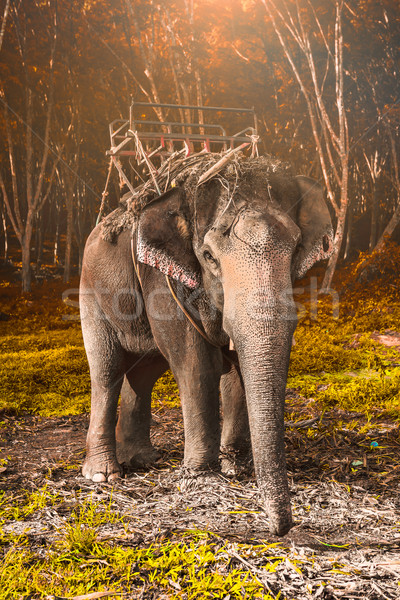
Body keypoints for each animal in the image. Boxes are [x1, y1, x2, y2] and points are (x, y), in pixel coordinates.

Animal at [79, 154, 332, 536]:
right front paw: (202, 477)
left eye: (295, 249)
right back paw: (103, 476)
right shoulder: (160, 277)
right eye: (209, 256)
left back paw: (140, 459)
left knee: (144, 373)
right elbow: (196, 364)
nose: (282, 529)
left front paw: (236, 468)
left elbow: (235, 367)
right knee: (106, 370)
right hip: (90, 292)